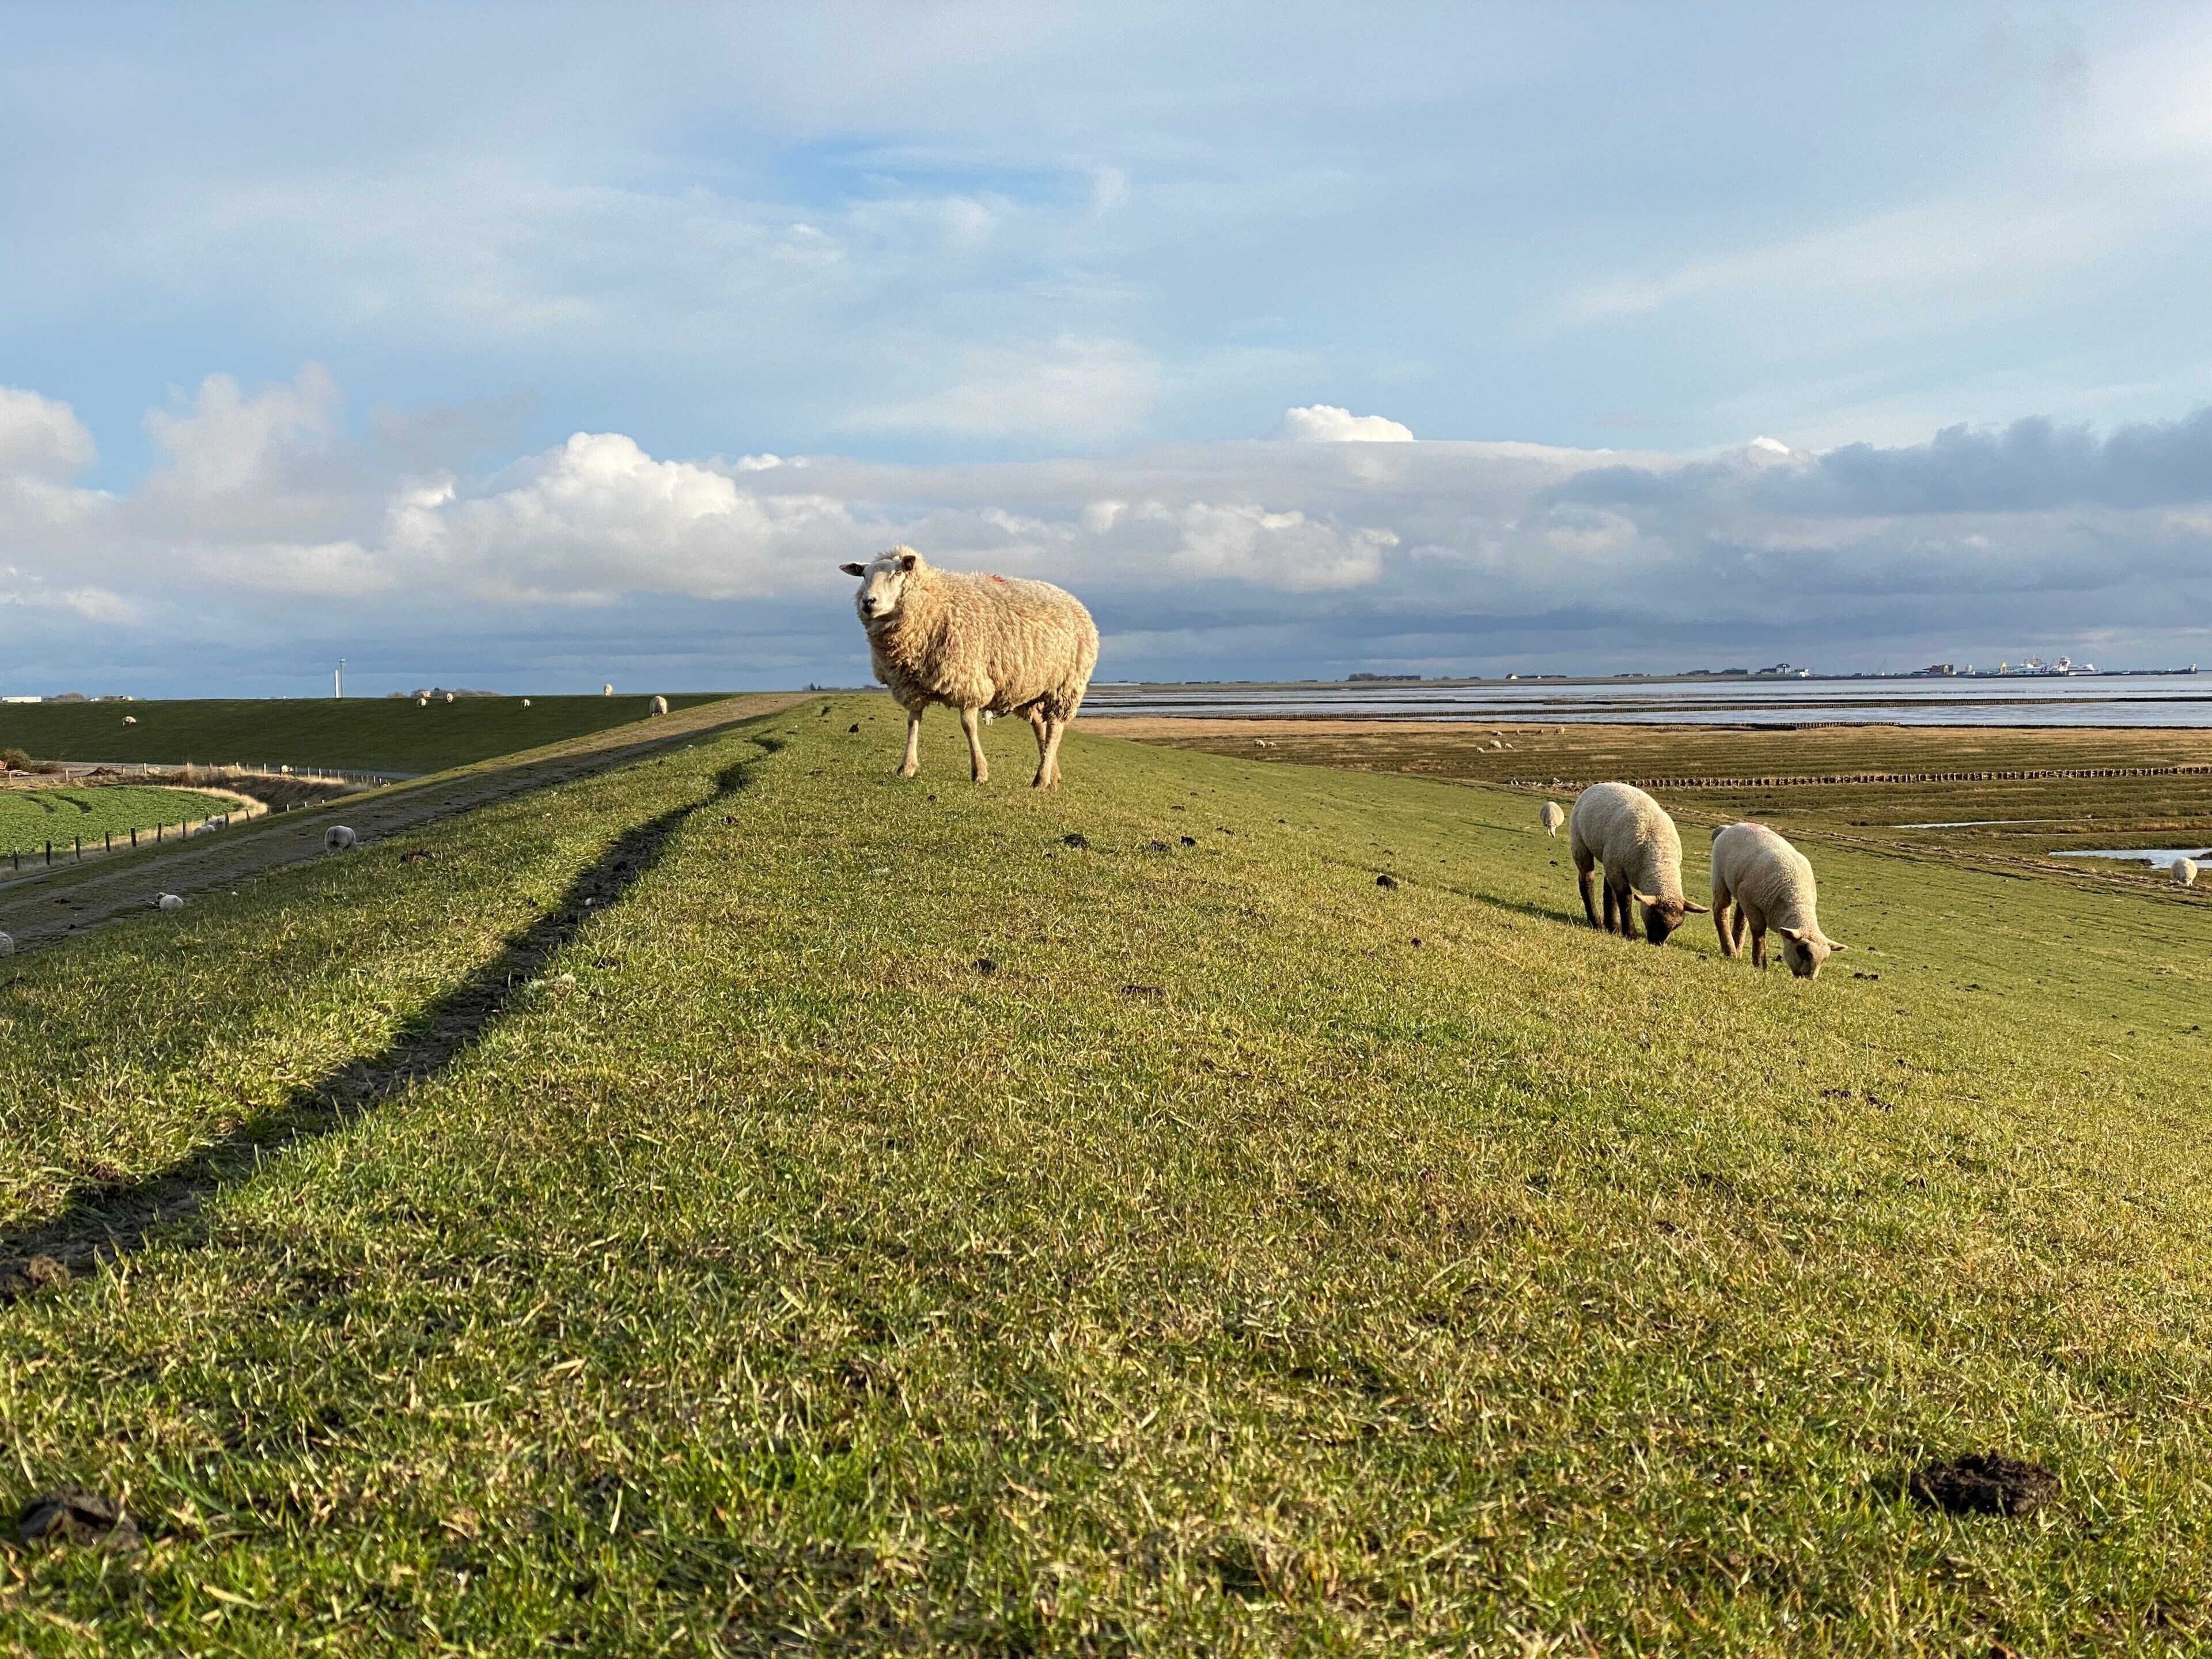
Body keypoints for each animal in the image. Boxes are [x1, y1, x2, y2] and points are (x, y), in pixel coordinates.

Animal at [840, 546, 1099, 788]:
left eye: (898, 573)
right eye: (864, 575)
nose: (868, 602)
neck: (936, 603)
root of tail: (1075, 603)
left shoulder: (969, 679)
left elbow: (968, 726)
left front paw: (980, 772)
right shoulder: (911, 684)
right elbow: (913, 721)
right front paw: (907, 767)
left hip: (1066, 685)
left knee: (1055, 728)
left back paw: (1041, 779)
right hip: (1032, 687)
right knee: (1040, 726)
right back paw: (1052, 776)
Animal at [1567, 782, 1707, 944]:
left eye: (1677, 925)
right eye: (1654, 915)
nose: (1657, 943)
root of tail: (1598, 785)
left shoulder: (1615, 867)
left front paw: (1620, 929)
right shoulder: (1617, 869)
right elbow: (1626, 899)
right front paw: (1631, 933)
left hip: (1610, 861)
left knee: (1608, 889)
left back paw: (1612, 926)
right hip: (1581, 843)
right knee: (1587, 882)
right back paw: (1596, 923)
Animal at [1709, 821, 1847, 977]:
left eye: (1824, 960)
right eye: (1801, 951)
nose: (1808, 978)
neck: (1797, 899)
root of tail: (1731, 827)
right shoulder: (1751, 902)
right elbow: (1759, 934)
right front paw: (1760, 965)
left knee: (1740, 919)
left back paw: (1737, 950)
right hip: (1720, 876)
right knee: (1721, 911)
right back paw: (1730, 951)